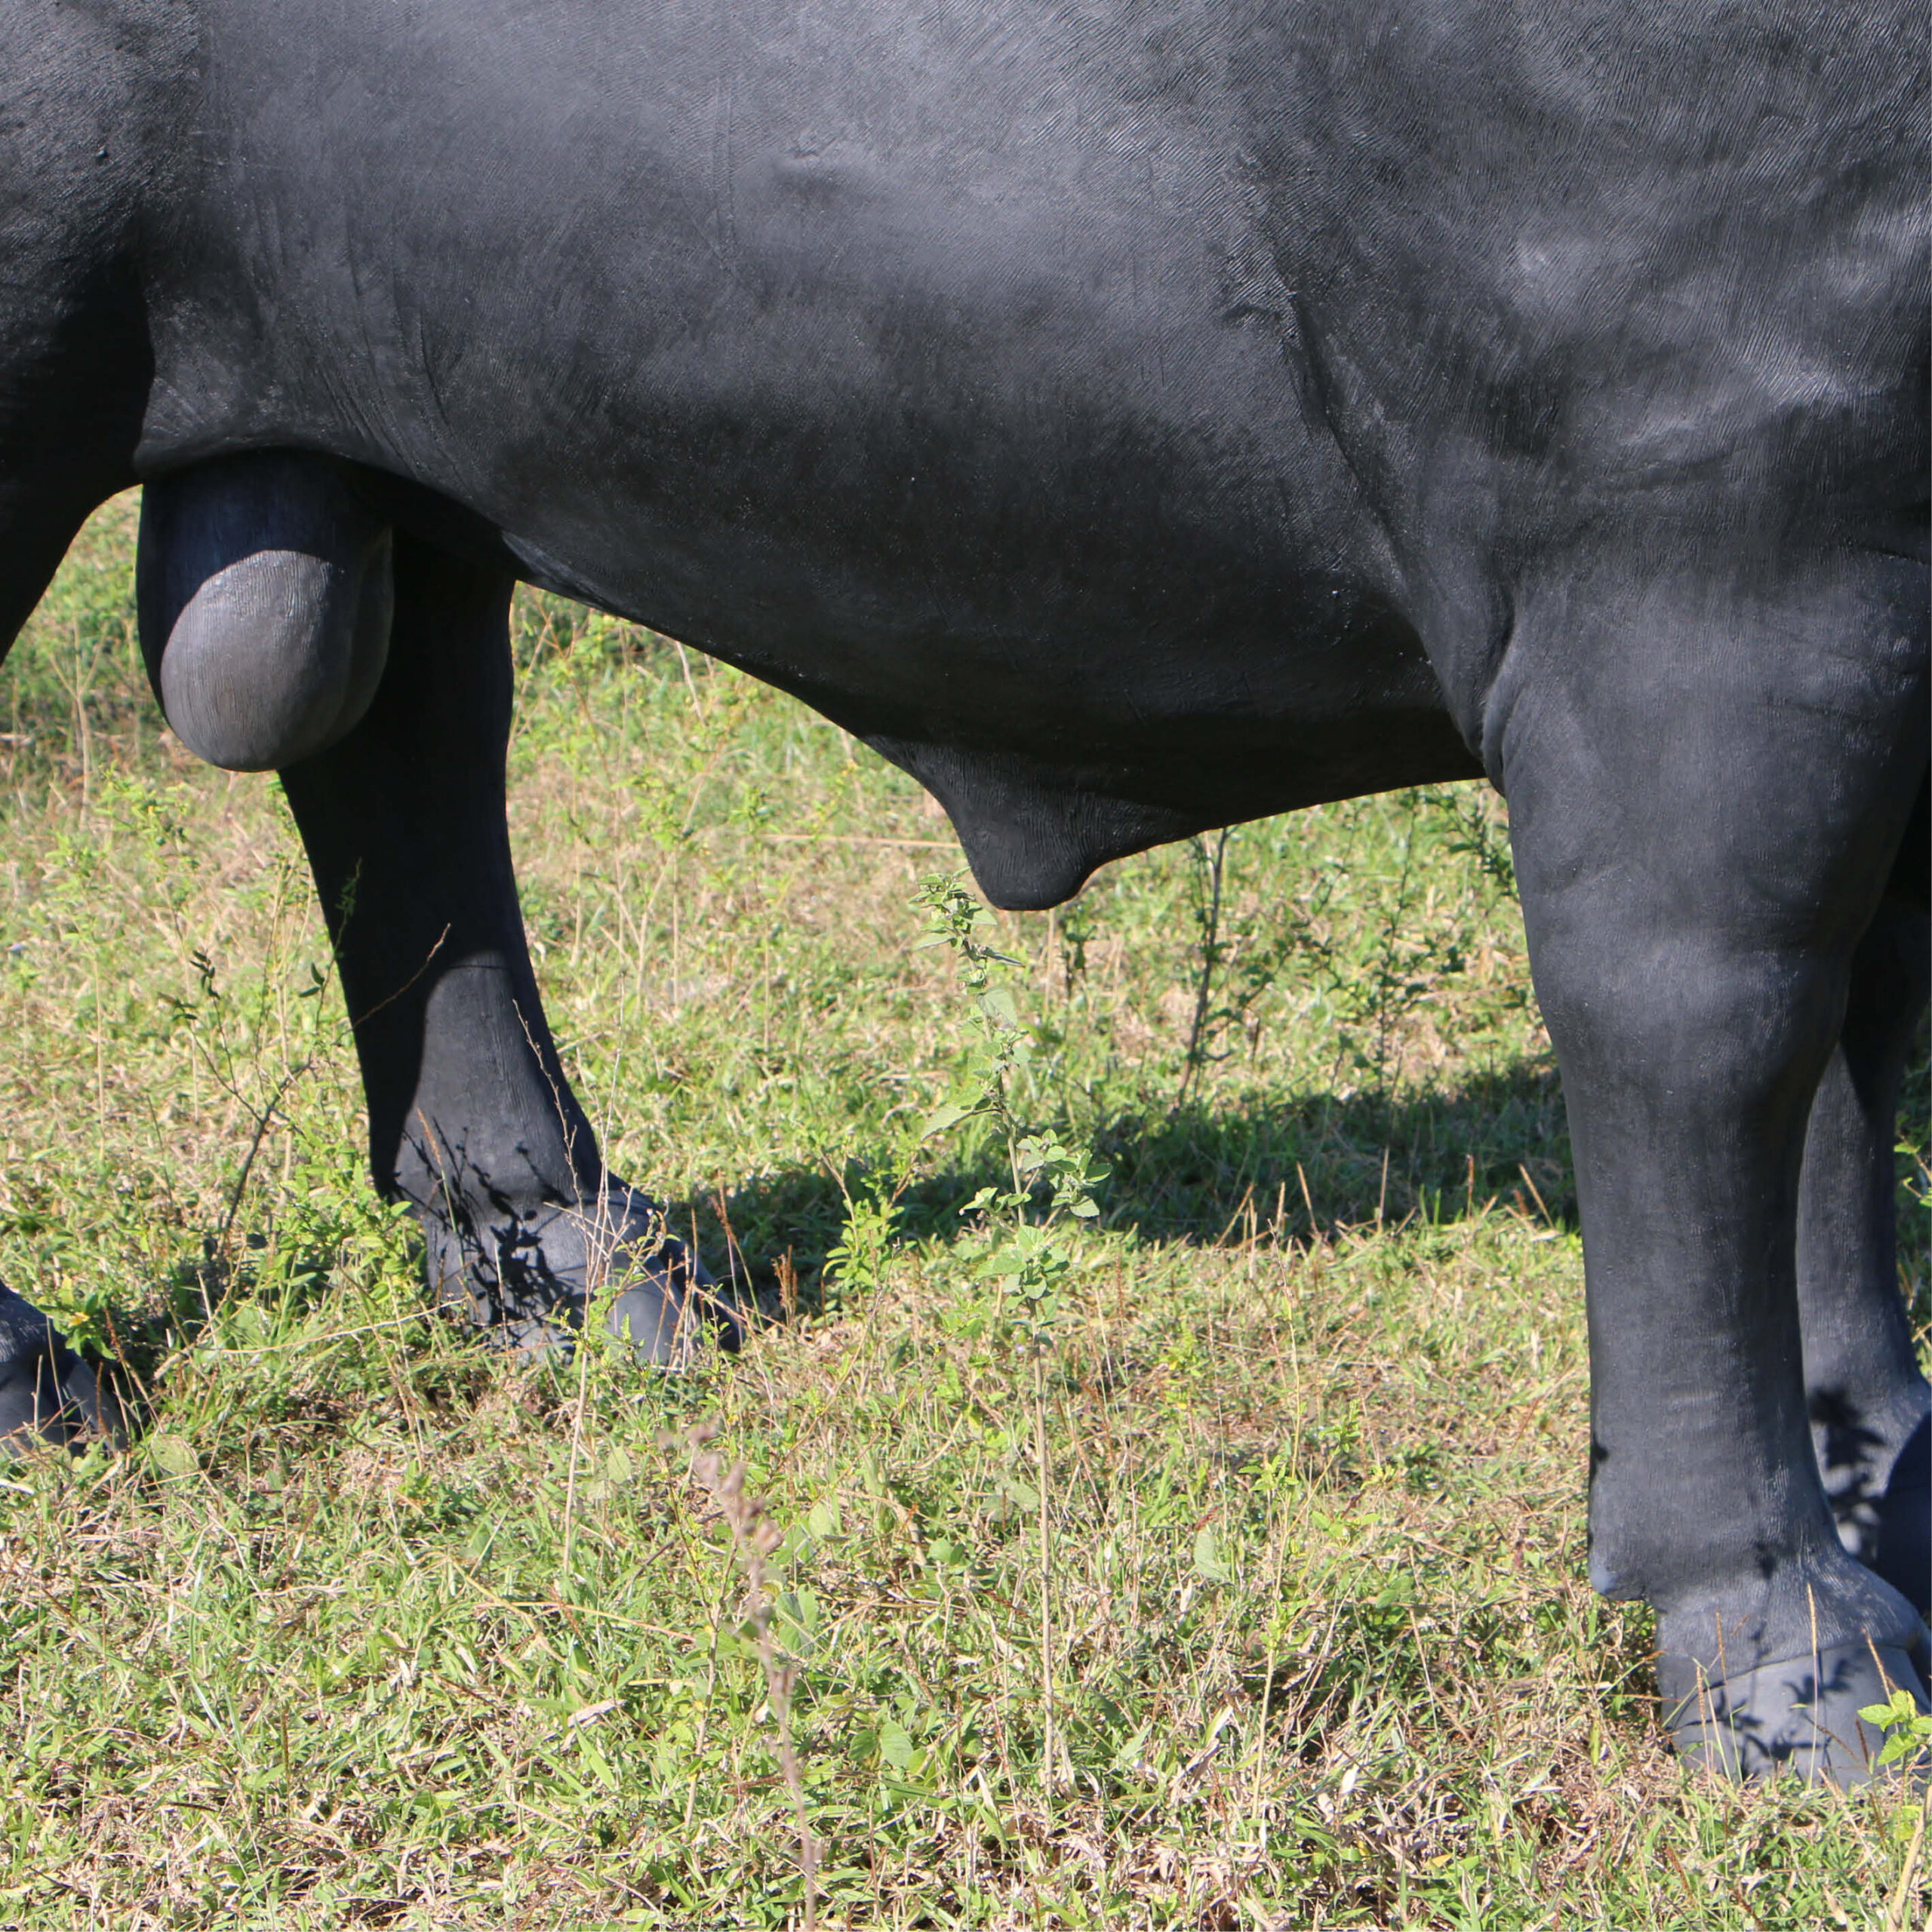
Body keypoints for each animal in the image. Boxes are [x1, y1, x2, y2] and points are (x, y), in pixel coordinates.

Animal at [0, 0, 1924, 1785]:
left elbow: (1848, 1047)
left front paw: (1878, 1491)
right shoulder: (1688, 512)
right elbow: (1709, 1017)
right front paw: (1778, 1636)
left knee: (410, 749)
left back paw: (574, 1264)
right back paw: (40, 1376)